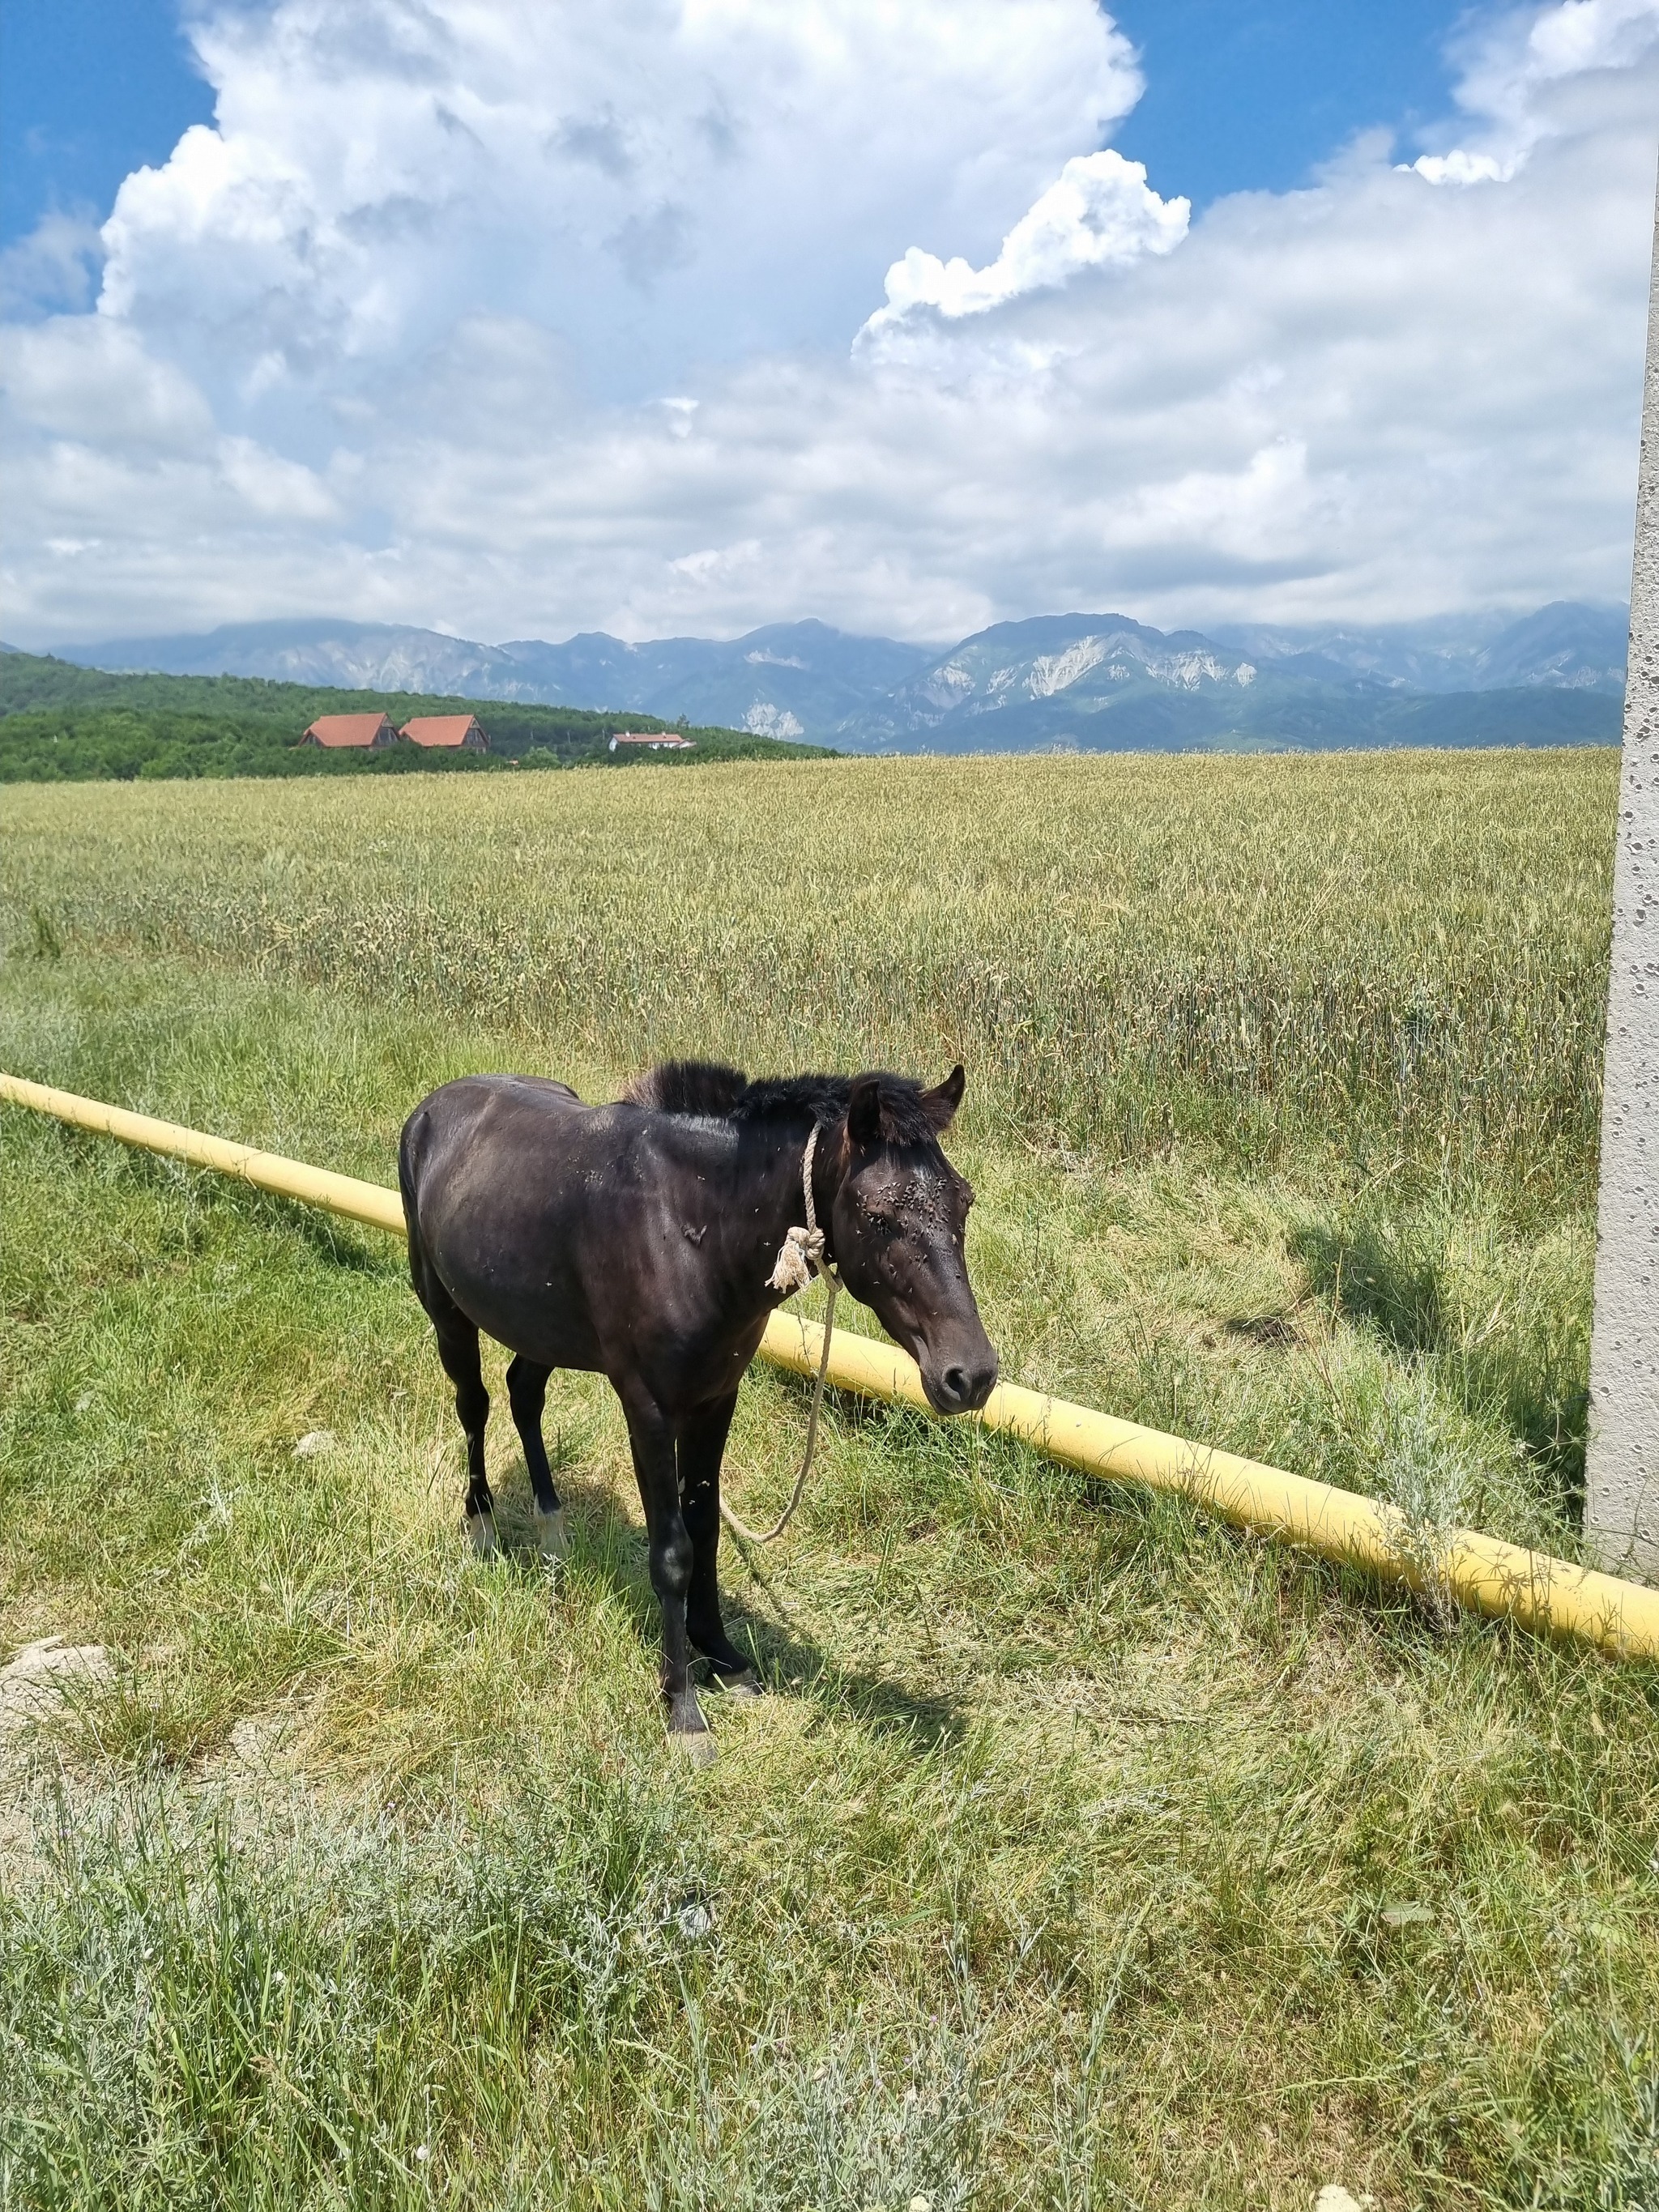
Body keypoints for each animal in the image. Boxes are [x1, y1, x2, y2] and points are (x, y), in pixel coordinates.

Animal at [402, 1061, 1000, 1751]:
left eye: (964, 1200)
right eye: (877, 1215)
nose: (971, 1374)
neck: (687, 1227)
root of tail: (432, 1106)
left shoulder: (716, 1398)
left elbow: (707, 1527)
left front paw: (721, 1653)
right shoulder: (649, 1408)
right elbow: (673, 1551)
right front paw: (682, 1705)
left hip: (540, 1325)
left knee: (525, 1392)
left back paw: (553, 1528)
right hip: (447, 1311)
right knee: (473, 1405)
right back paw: (481, 1524)